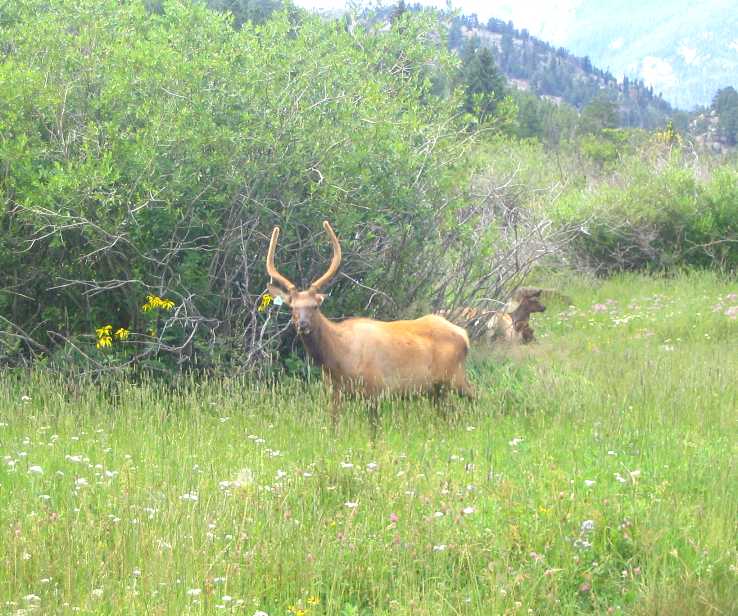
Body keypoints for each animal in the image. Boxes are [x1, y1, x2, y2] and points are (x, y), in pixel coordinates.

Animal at [264, 219, 472, 426]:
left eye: (315, 306)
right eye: (292, 308)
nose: (303, 325)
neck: (337, 359)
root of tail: (464, 335)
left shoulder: (375, 389)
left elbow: (374, 429)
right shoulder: (335, 392)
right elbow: (334, 426)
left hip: (452, 377)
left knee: (473, 399)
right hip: (436, 389)